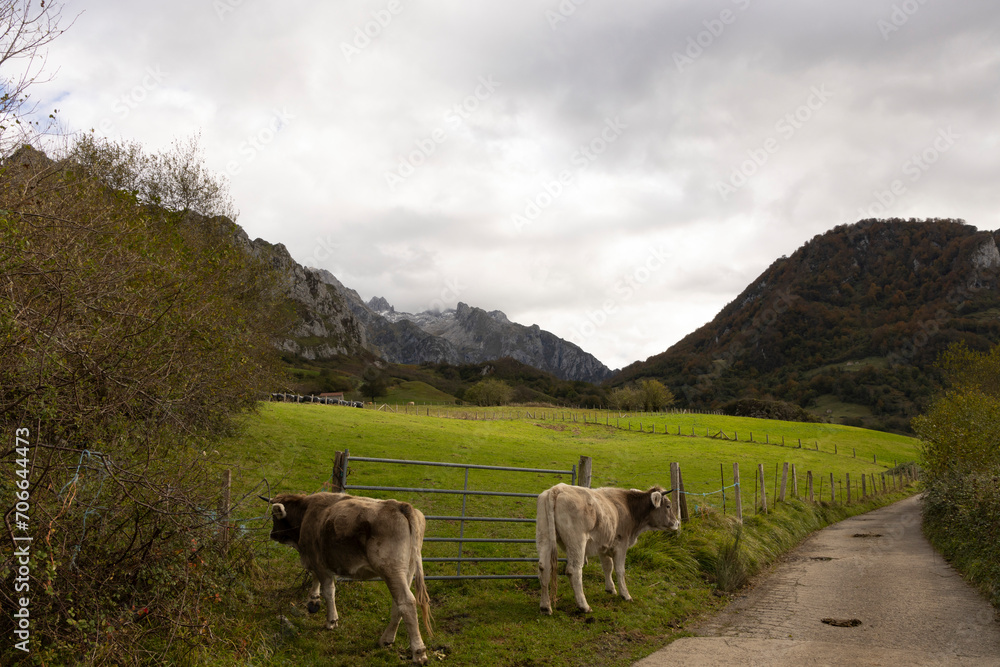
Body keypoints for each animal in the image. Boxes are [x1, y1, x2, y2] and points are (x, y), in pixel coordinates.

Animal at [266, 494, 434, 664]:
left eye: (274, 516)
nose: (272, 534)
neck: (306, 510)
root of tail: (399, 506)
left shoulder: (319, 561)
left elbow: (328, 590)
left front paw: (331, 620)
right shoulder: (317, 561)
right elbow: (316, 579)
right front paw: (313, 600)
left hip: (392, 571)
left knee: (407, 603)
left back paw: (418, 652)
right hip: (407, 572)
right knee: (398, 604)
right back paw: (386, 639)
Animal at [536, 482, 684, 612]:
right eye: (668, 506)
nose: (677, 523)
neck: (629, 507)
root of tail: (557, 489)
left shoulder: (603, 545)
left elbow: (608, 566)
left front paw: (610, 588)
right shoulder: (621, 545)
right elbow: (619, 570)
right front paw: (625, 595)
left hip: (545, 538)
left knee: (544, 567)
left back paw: (545, 606)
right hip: (576, 542)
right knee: (574, 571)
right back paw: (584, 606)